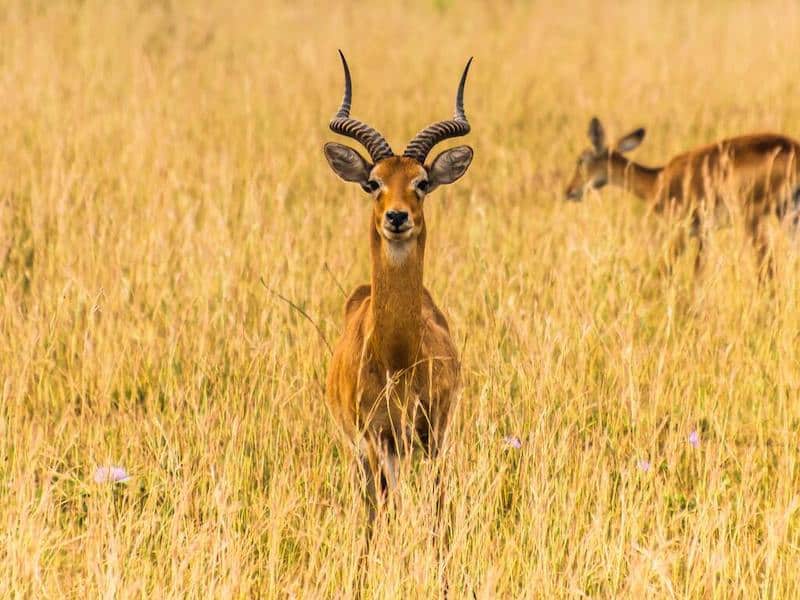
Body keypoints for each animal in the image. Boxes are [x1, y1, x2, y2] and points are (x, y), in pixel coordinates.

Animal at [324, 51, 476, 528]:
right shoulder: (375, 440)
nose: (396, 217)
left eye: (421, 182)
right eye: (373, 182)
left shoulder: (434, 435)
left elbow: (438, 506)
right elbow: (382, 510)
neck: (396, 357)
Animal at [564, 116, 800, 276]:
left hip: (754, 218)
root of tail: (793, 149)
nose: (569, 191)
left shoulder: (682, 231)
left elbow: (664, 268)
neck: (657, 181)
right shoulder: (704, 234)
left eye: (581, 159)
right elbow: (698, 274)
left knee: (767, 268)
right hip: (787, 215)